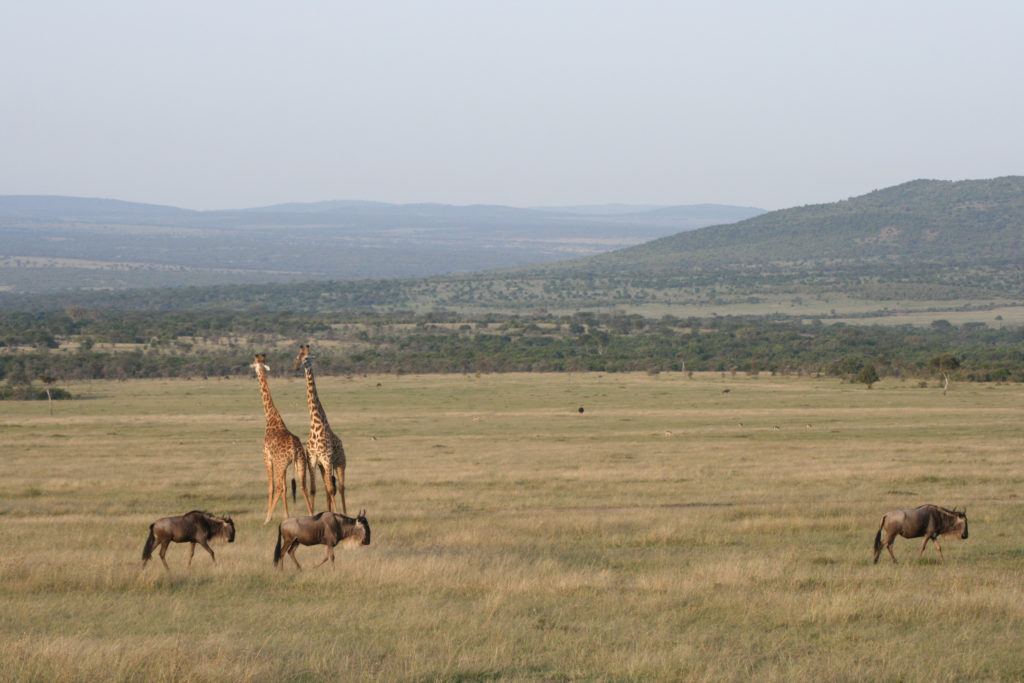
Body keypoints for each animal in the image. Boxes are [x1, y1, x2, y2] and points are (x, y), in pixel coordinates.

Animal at [250, 352, 313, 524]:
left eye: (254, 364)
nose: (251, 369)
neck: (270, 416)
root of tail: (295, 449)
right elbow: (286, 488)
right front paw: (286, 515)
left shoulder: (267, 457)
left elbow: (271, 487)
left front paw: (272, 516)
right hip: (300, 462)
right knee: (303, 486)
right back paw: (312, 514)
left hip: (280, 464)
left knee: (278, 486)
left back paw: (267, 518)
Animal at [292, 348, 348, 511]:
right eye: (297, 357)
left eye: (306, 358)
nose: (297, 367)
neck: (316, 426)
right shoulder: (313, 460)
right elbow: (314, 489)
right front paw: (313, 513)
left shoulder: (327, 459)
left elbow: (331, 489)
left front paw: (336, 513)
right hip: (324, 466)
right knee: (329, 487)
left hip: (340, 462)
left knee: (340, 488)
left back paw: (344, 512)